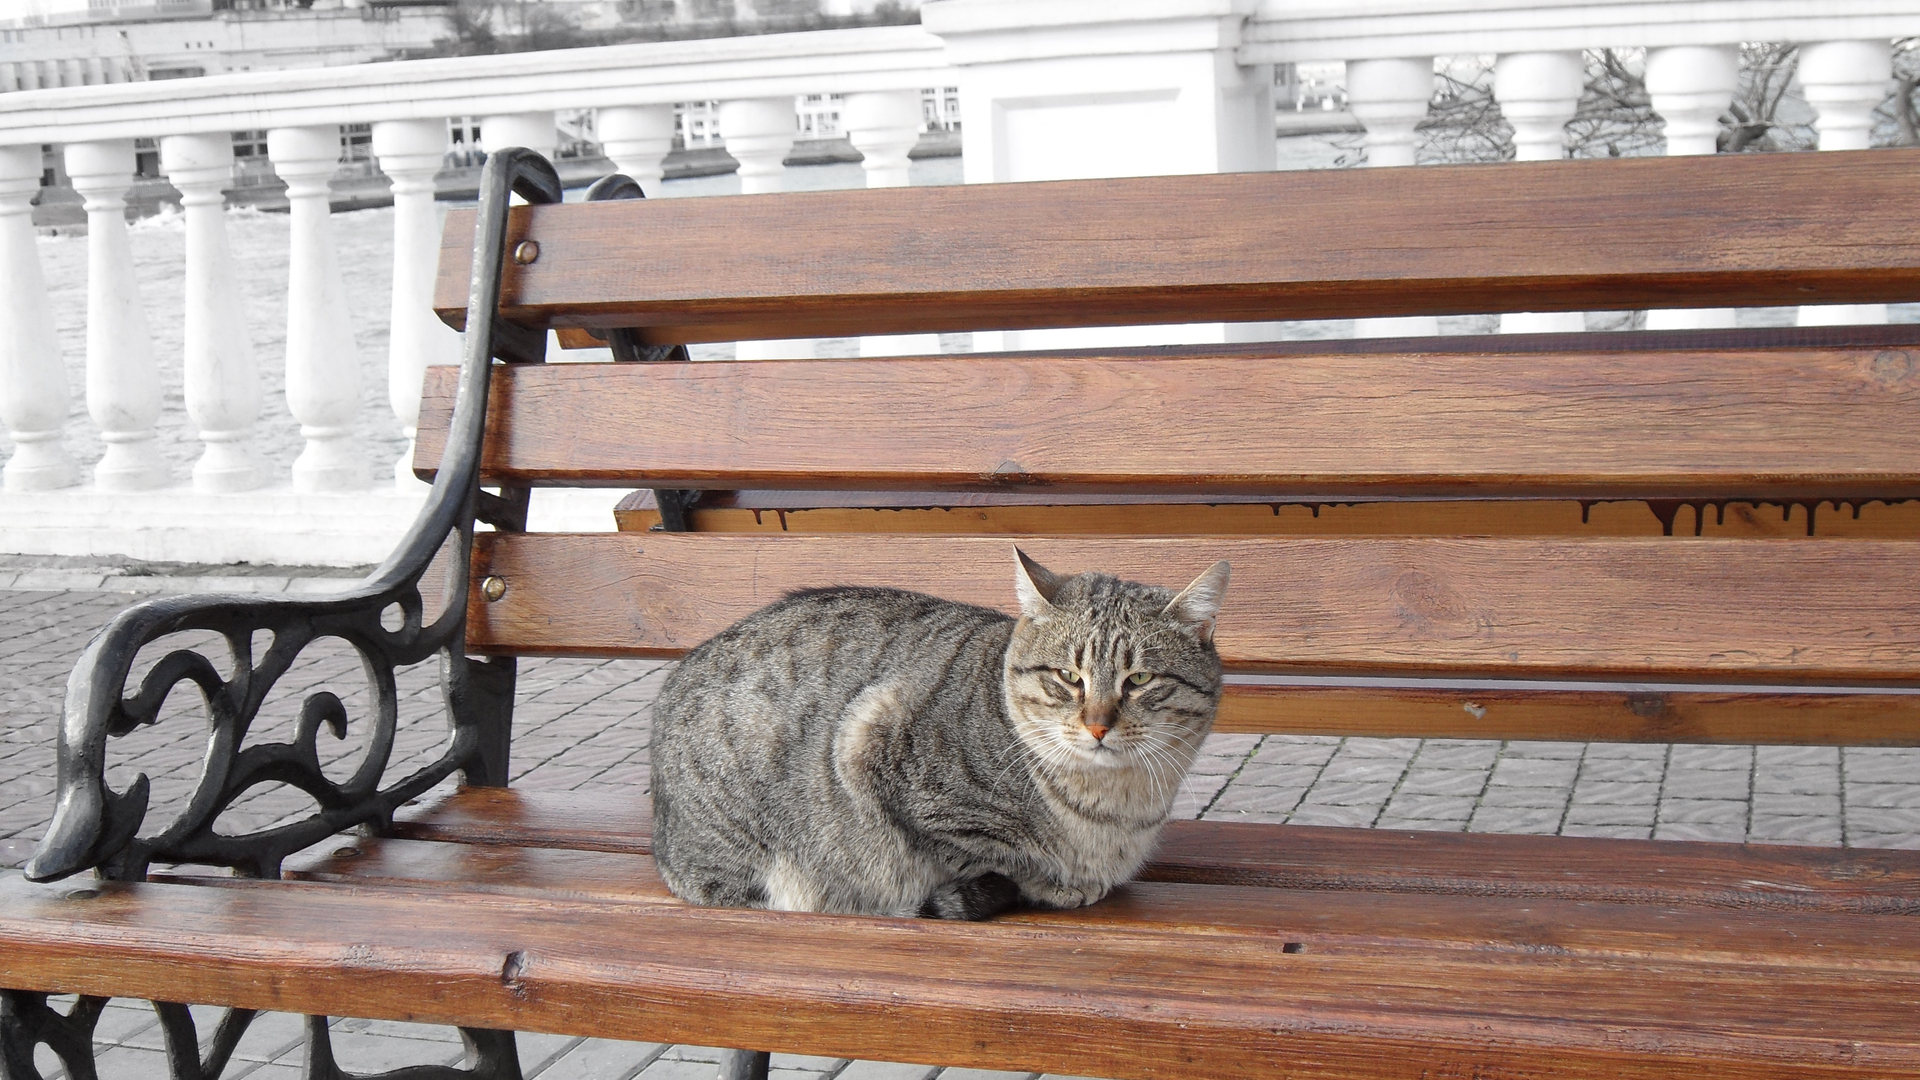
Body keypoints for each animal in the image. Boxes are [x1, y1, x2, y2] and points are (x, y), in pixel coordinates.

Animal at [645, 545, 1228, 914]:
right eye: (1069, 677)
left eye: (1140, 679)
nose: (1098, 726)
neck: (1116, 804)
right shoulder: (873, 744)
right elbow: (992, 852)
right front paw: (1055, 883)